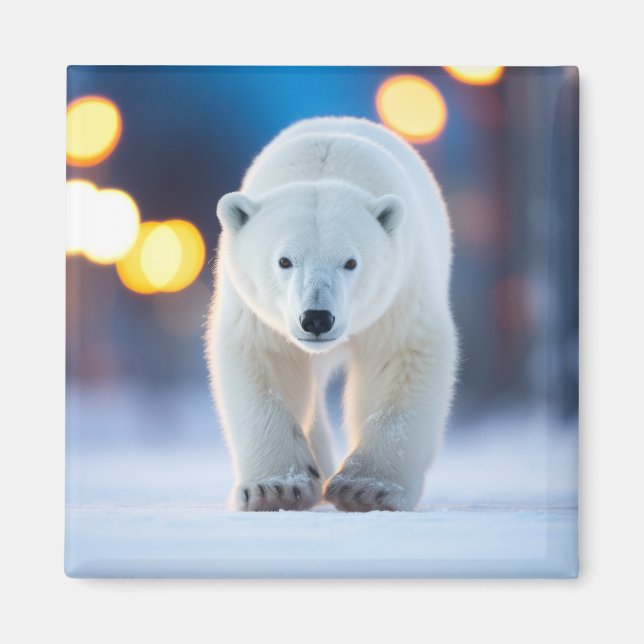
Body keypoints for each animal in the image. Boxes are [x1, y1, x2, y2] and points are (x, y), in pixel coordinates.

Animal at [205, 116, 457, 512]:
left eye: (351, 262)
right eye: (284, 260)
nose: (317, 319)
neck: (323, 169)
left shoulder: (400, 292)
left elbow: (400, 356)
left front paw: (367, 489)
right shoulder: (255, 310)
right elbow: (266, 363)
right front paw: (274, 489)